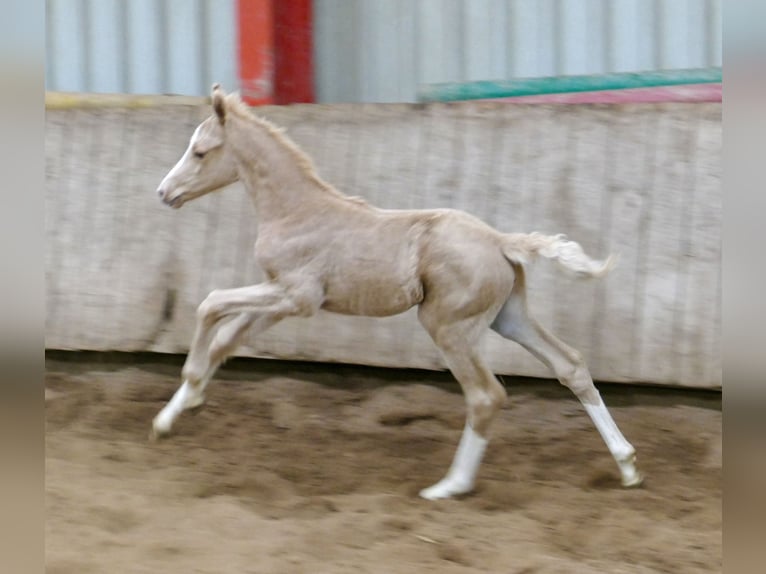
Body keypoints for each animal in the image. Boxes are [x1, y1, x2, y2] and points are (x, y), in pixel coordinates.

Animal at [152, 84, 640, 500]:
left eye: (200, 151)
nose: (163, 192)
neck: (297, 211)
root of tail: (502, 241)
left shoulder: (297, 296)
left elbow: (210, 304)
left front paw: (188, 387)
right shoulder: (281, 298)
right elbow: (225, 339)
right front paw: (171, 415)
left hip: (447, 326)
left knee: (486, 396)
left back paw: (450, 486)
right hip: (509, 317)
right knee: (570, 365)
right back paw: (627, 465)